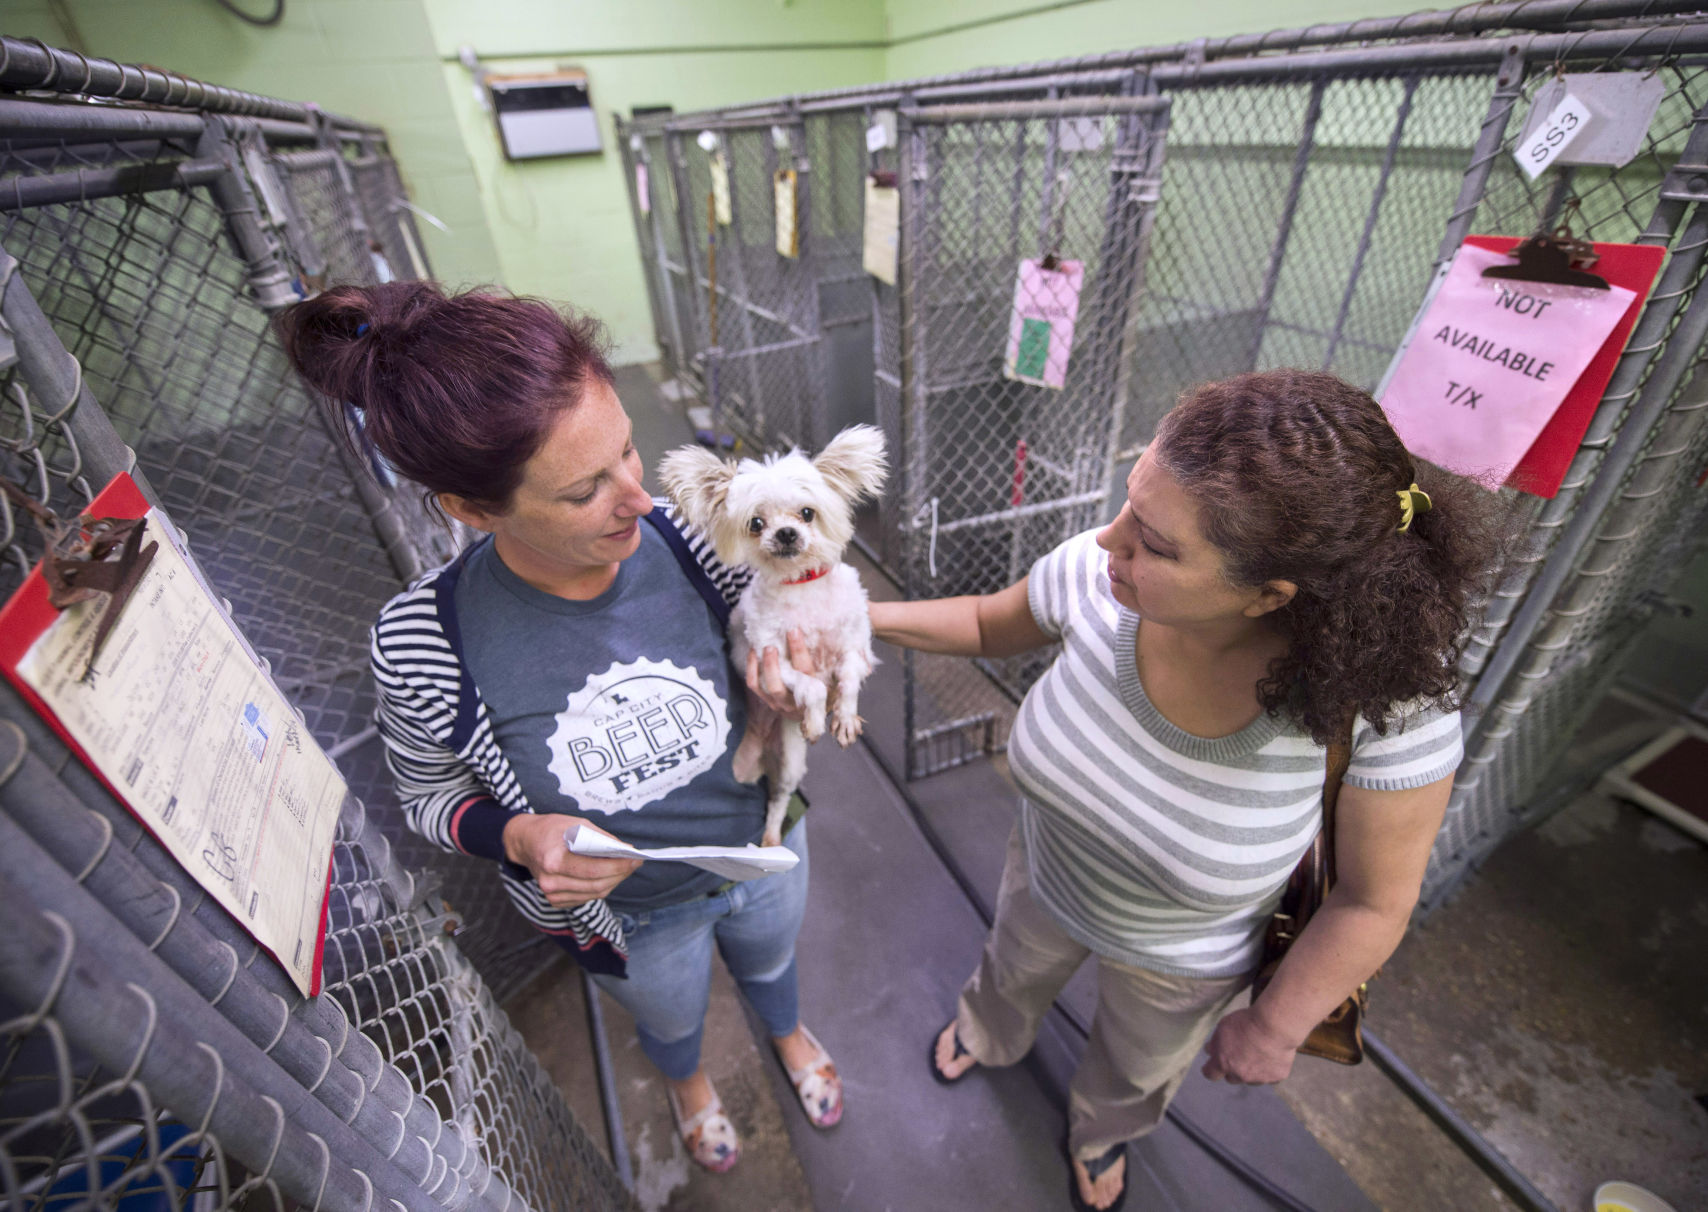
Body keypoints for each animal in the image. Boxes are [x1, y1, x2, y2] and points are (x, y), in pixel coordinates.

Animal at [659, 425, 888, 846]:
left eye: (807, 513)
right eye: (756, 523)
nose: (786, 533)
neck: (803, 587)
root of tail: (763, 747)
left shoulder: (856, 648)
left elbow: (848, 678)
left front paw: (846, 718)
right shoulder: (771, 661)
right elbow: (812, 687)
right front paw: (817, 719)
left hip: (792, 764)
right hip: (788, 761)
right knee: (777, 803)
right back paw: (769, 839)